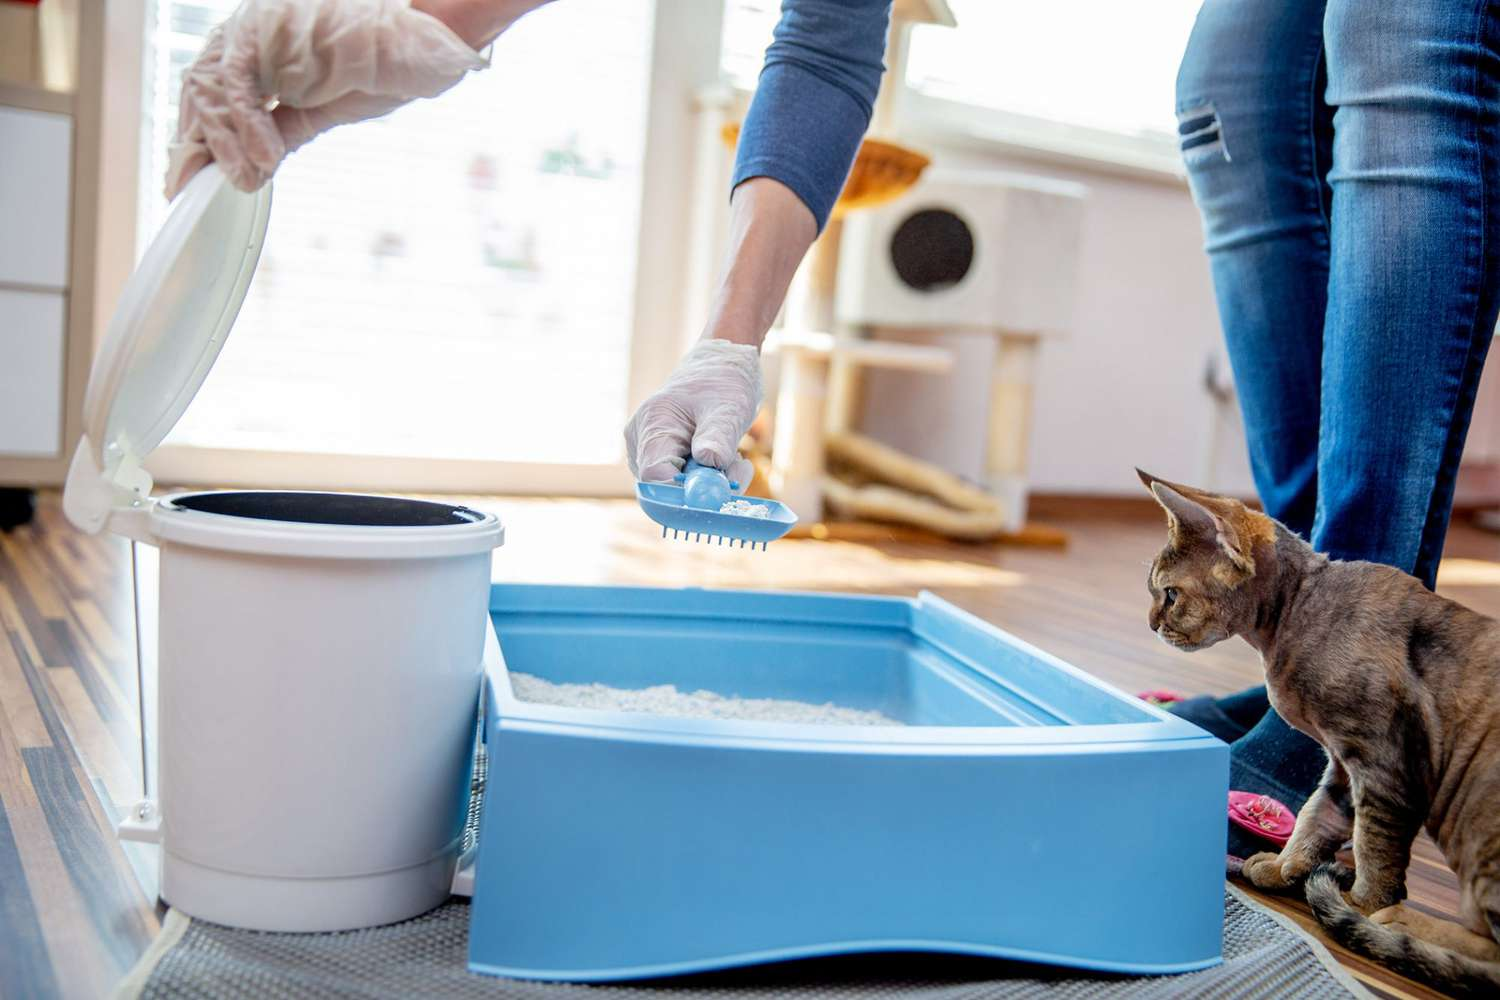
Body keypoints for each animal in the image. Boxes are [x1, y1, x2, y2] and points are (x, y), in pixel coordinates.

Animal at [1134, 470, 1500, 1000]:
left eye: (1169, 595)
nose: (1150, 624)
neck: (1294, 618)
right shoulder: (1344, 766)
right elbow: (1316, 814)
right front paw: (1286, 866)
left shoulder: (1382, 765)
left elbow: (1375, 847)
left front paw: (1363, 903)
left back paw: (1401, 922)